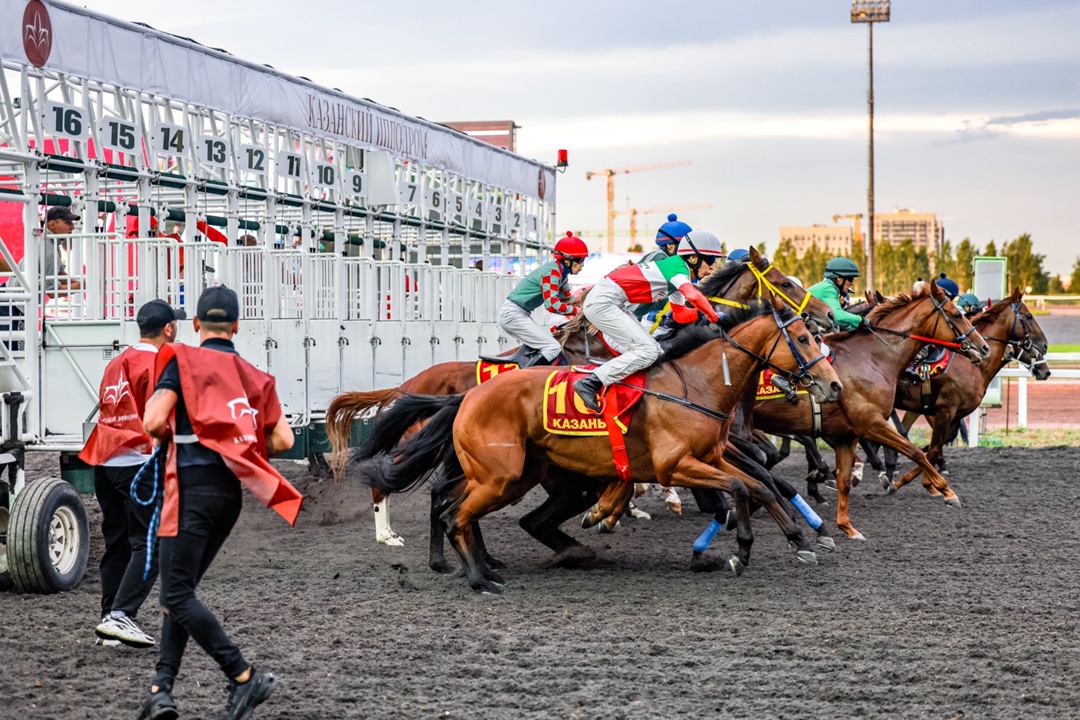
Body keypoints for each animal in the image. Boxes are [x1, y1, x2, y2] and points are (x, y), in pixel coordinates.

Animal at [358, 295, 838, 595]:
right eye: (803, 339)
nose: (832, 385)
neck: (694, 384)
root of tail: (467, 397)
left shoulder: (712, 457)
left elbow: (760, 485)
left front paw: (798, 539)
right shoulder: (675, 465)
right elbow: (741, 487)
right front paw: (742, 549)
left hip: (514, 474)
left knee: (453, 505)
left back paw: (481, 564)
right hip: (500, 475)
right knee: (454, 513)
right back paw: (479, 578)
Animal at [747, 280, 989, 539]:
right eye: (957, 315)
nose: (984, 347)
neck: (871, 357)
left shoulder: (847, 434)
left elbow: (844, 479)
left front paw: (847, 526)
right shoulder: (871, 423)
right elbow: (917, 452)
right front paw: (946, 491)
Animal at [859, 289, 1045, 487]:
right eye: (1029, 316)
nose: (1044, 346)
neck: (971, 364)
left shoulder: (952, 413)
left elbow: (939, 443)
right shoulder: (943, 409)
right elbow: (932, 448)